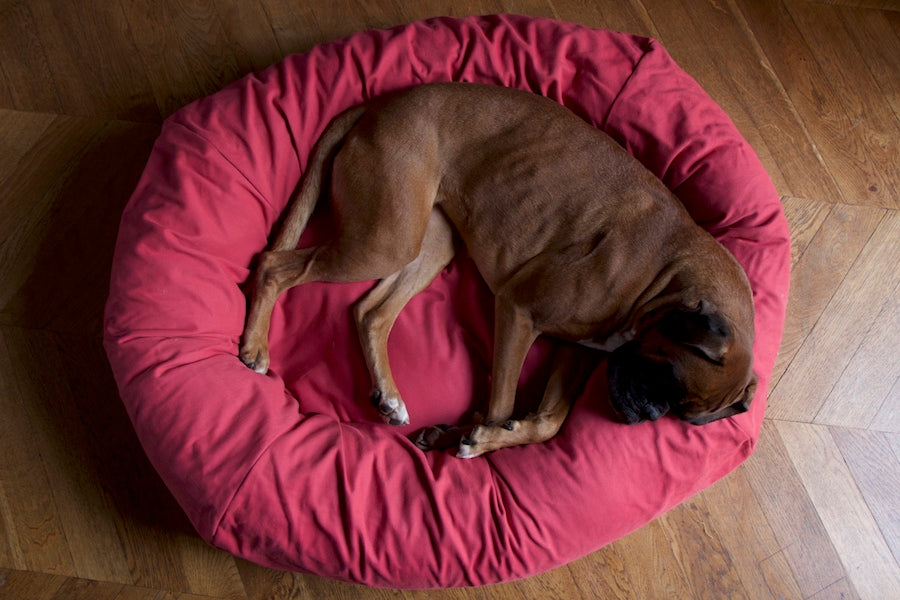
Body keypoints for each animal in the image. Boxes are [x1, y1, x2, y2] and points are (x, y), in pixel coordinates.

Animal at [236, 83, 756, 460]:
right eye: (666, 378)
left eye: (681, 414)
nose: (644, 415)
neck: (665, 275)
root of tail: (382, 103)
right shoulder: (518, 313)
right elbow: (502, 401)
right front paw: (478, 437)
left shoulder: (574, 349)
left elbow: (549, 421)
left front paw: (470, 432)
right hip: (383, 243)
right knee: (275, 266)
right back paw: (256, 348)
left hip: (428, 245)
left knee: (370, 313)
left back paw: (389, 394)